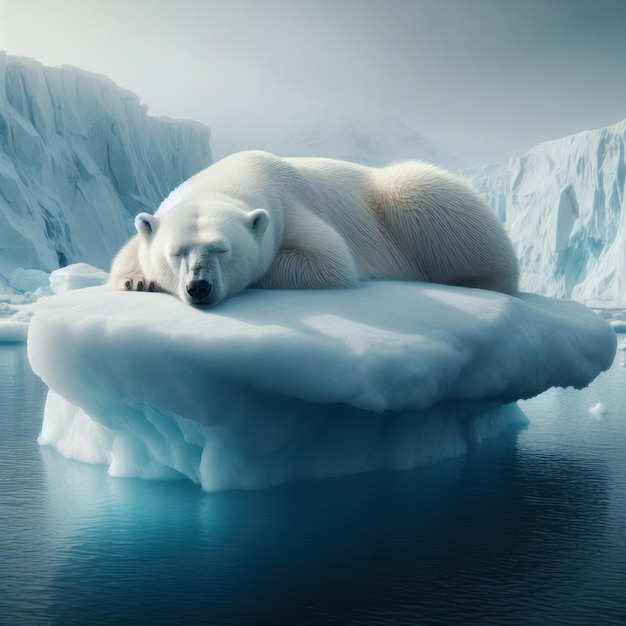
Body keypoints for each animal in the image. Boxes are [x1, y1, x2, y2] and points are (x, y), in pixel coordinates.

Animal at [106, 151, 516, 308]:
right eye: (177, 252)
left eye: (223, 250)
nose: (199, 287)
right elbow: (128, 249)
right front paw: (136, 280)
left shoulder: (291, 204)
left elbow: (328, 261)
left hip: (414, 202)